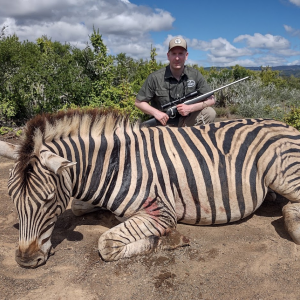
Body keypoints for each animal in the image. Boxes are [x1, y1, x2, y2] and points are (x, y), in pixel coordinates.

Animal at [0, 109, 300, 268]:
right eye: (12, 198)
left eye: (48, 200)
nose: (25, 261)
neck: (116, 165)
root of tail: (285, 124)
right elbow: (76, 207)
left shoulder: (161, 212)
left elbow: (106, 244)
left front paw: (170, 240)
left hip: (282, 170)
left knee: (290, 206)